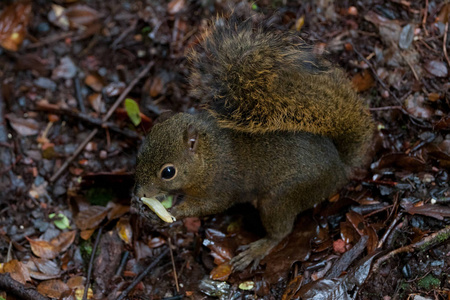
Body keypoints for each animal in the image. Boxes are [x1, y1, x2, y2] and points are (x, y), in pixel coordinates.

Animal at [133, 13, 372, 272]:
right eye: (139, 153)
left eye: (168, 172)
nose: (139, 192)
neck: (209, 154)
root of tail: (340, 167)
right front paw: (143, 206)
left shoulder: (220, 185)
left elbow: (210, 205)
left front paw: (171, 211)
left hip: (281, 198)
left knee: (281, 231)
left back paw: (258, 248)